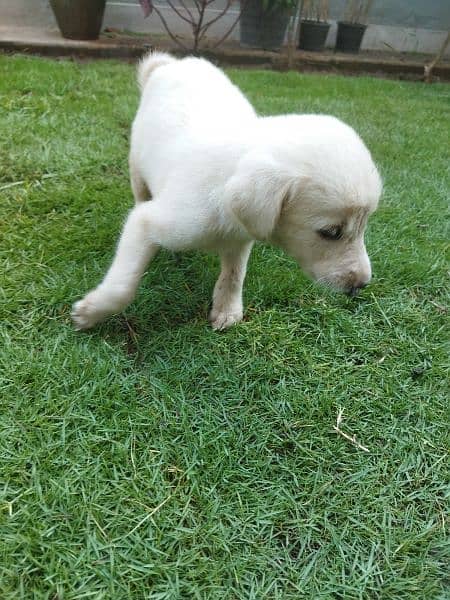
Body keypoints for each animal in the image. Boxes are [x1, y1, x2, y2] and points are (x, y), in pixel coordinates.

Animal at [72, 51, 382, 330]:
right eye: (330, 232)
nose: (362, 284)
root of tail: (172, 64)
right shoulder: (151, 221)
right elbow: (123, 284)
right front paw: (90, 312)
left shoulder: (242, 235)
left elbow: (235, 273)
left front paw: (227, 309)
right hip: (137, 166)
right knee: (140, 195)